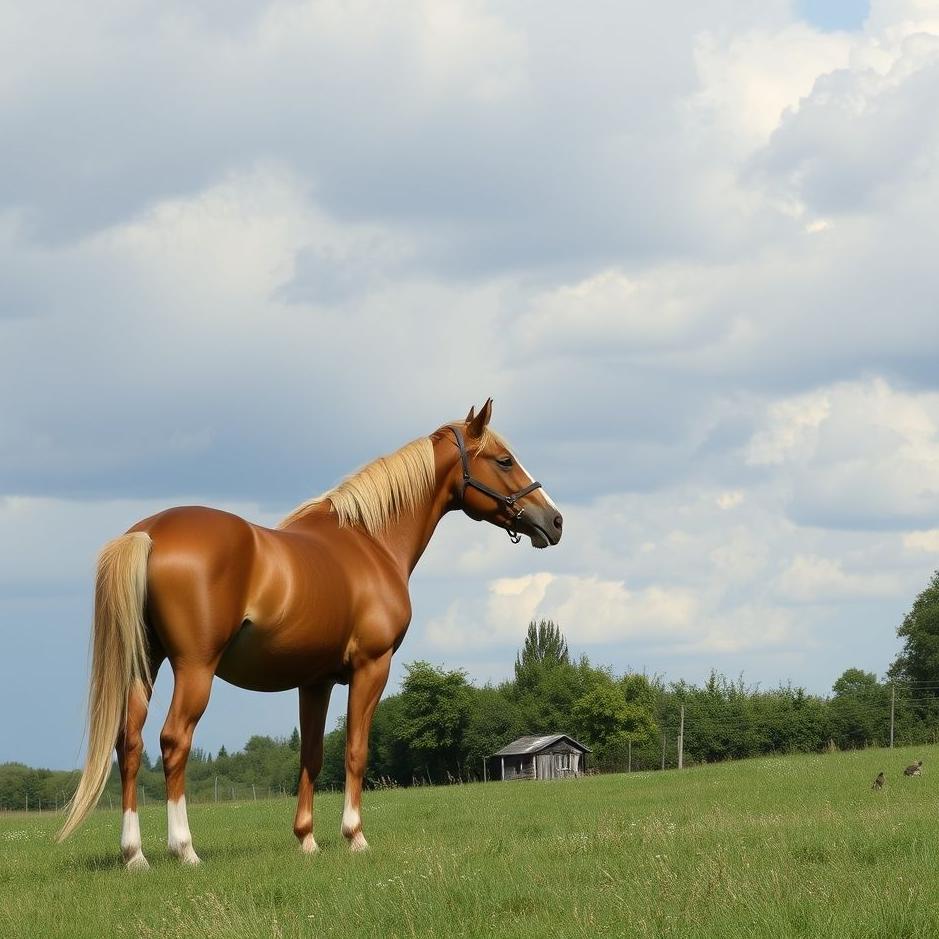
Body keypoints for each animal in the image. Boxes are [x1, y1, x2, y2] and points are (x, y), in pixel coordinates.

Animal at [57, 399, 562, 868]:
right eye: (504, 460)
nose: (554, 521)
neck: (370, 542)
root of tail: (149, 533)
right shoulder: (372, 667)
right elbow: (356, 750)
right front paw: (355, 837)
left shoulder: (314, 681)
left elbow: (312, 755)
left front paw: (307, 840)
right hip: (194, 668)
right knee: (173, 740)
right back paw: (185, 849)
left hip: (145, 665)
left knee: (130, 743)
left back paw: (134, 855)